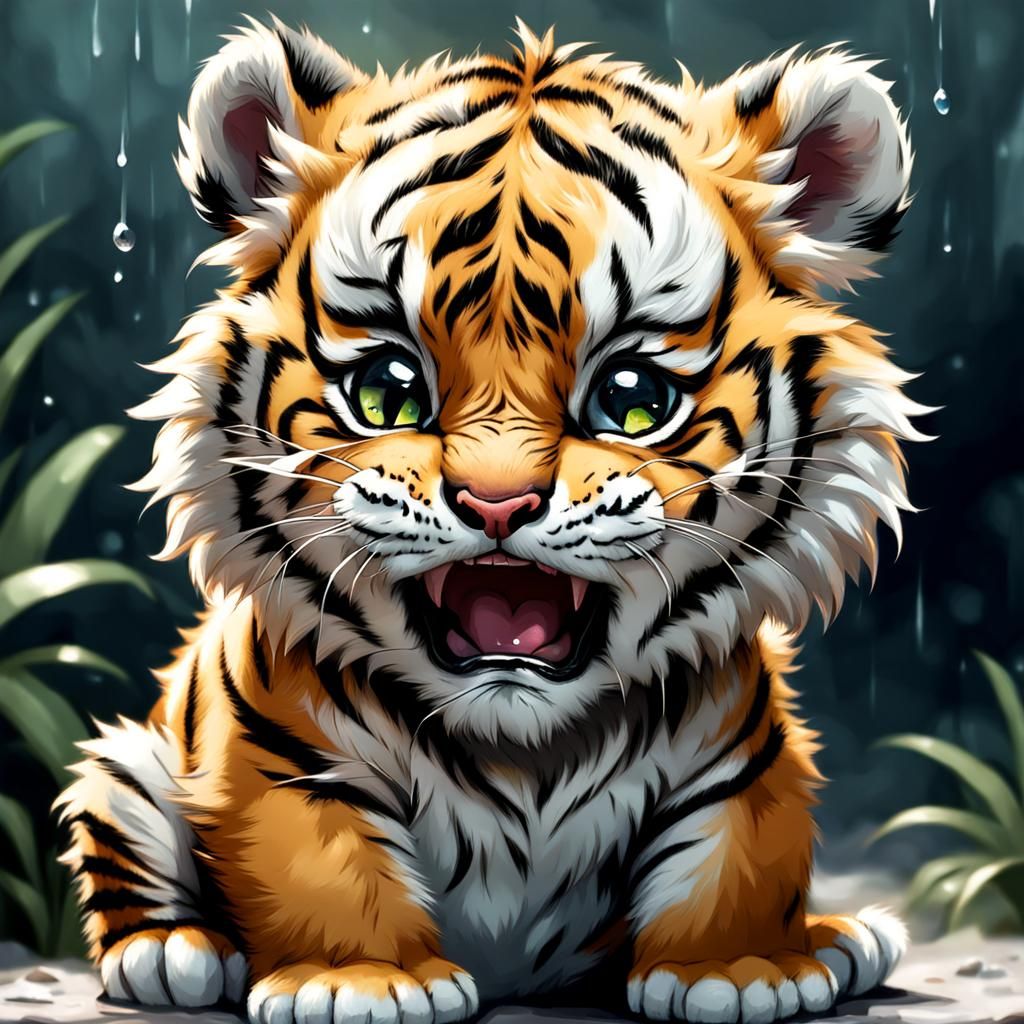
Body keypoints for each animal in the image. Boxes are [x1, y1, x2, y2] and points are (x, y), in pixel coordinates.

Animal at [55, 15, 927, 1024]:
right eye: (387, 392)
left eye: (634, 399)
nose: (497, 501)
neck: (523, 751)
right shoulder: (283, 756)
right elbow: (318, 857)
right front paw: (359, 981)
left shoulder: (741, 752)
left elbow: (736, 848)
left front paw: (738, 970)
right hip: (127, 764)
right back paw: (171, 954)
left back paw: (842, 940)